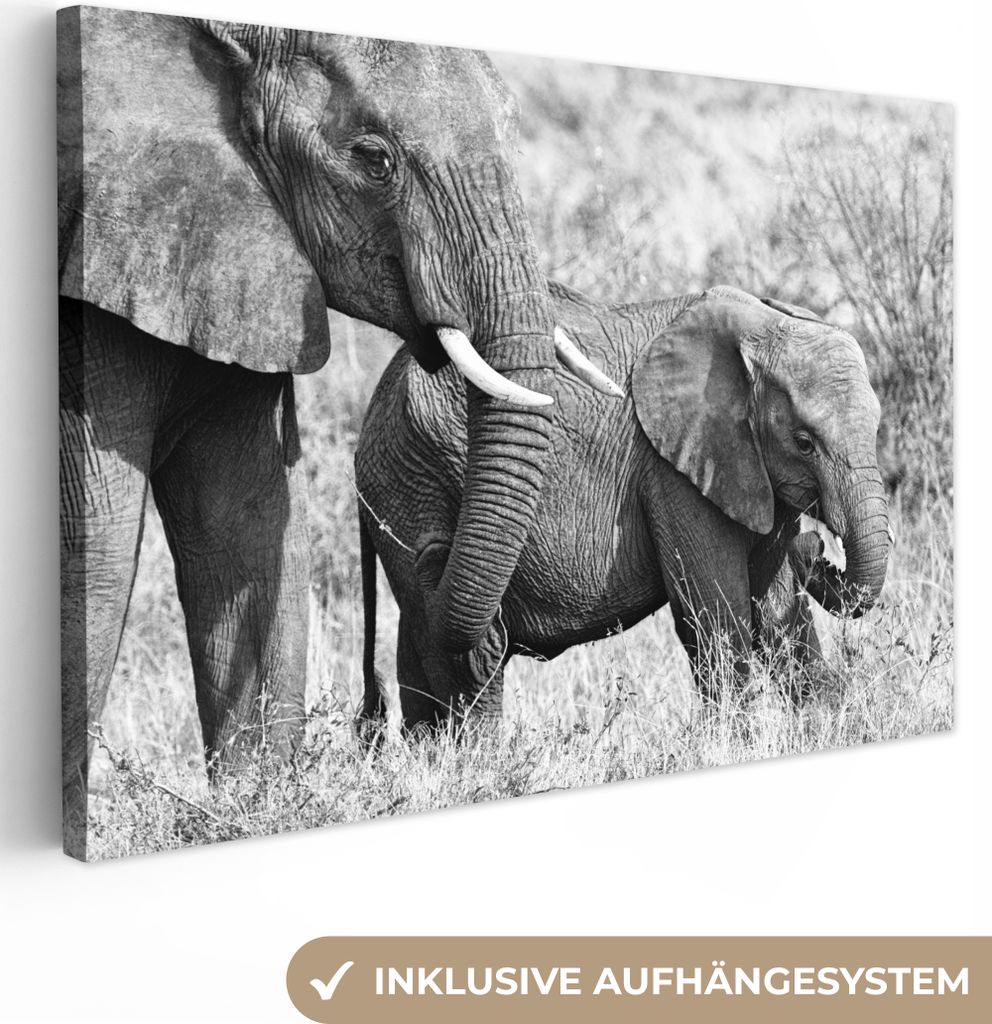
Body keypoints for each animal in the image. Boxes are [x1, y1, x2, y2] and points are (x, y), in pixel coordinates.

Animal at [355, 282, 891, 732]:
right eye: (804, 443)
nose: (816, 548)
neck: (758, 325)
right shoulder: (673, 471)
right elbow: (717, 614)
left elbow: (778, 607)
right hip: (411, 483)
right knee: (466, 659)